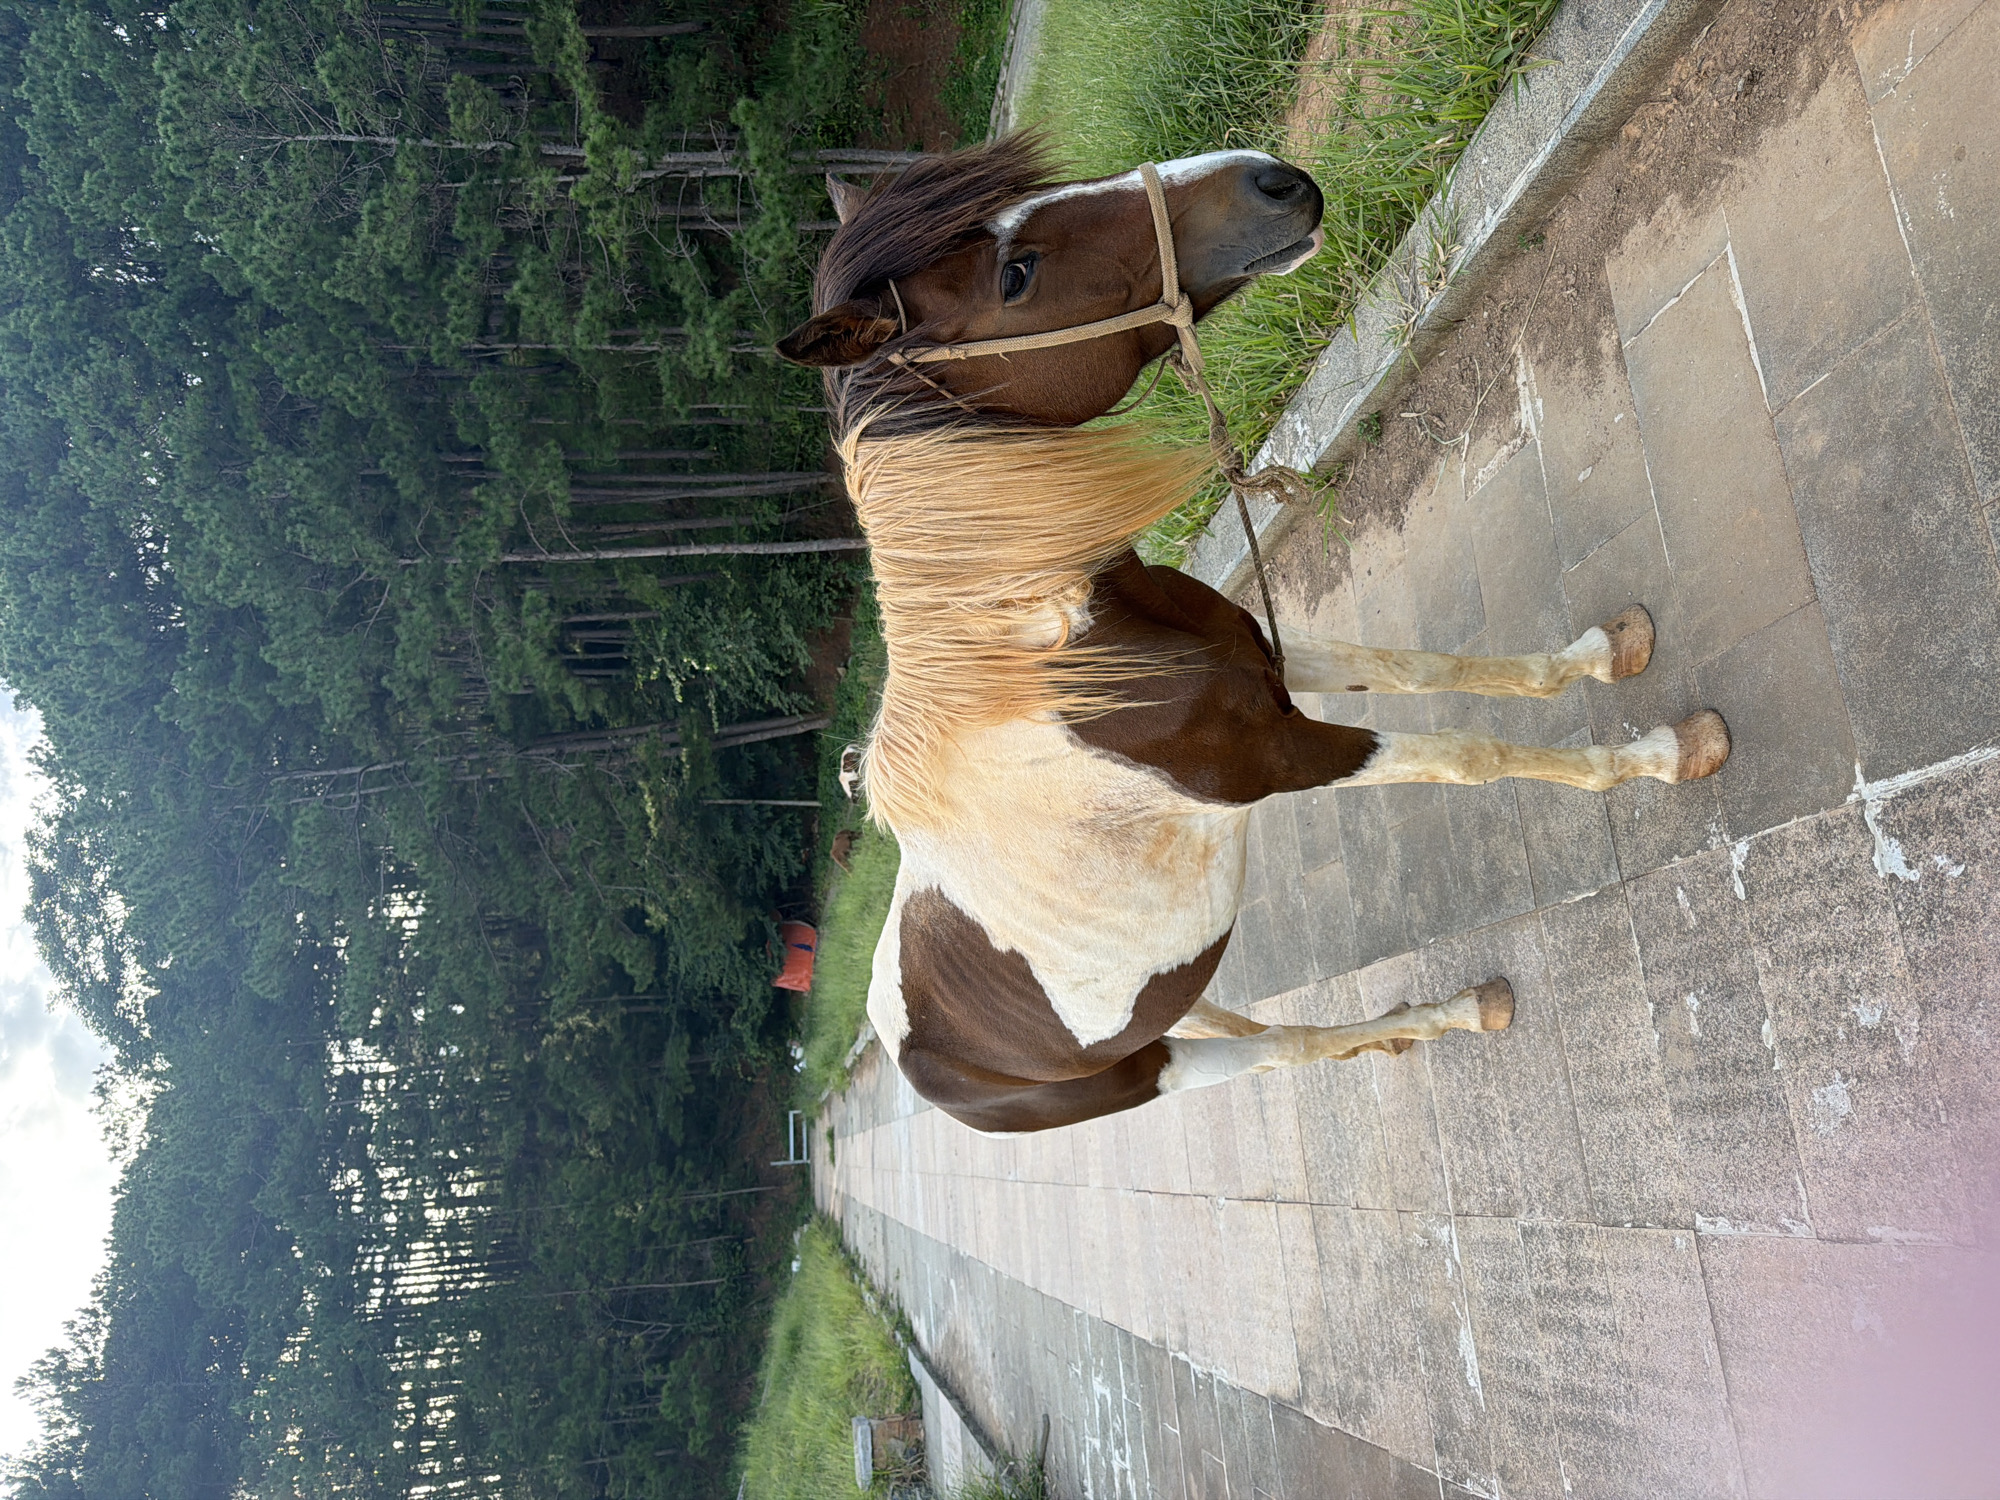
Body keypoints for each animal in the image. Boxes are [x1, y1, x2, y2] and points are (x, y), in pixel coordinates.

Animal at [778, 135, 1728, 1135]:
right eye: (1016, 275)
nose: (1273, 180)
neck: (1054, 656)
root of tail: (907, 1051)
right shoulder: (1282, 756)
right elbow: (1471, 754)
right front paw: (1667, 753)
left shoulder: (1271, 662)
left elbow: (1420, 664)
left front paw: (1606, 653)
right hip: (1152, 1070)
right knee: (1286, 1049)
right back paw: (1464, 1012)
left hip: (1176, 1000)